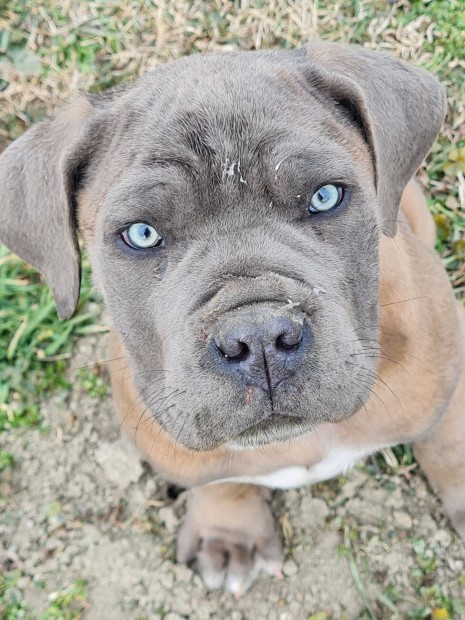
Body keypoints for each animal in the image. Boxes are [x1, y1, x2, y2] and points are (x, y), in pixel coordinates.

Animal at [0, 41, 464, 600]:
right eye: (141, 234)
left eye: (325, 196)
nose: (259, 337)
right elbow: (219, 479)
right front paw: (229, 531)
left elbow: (450, 444)